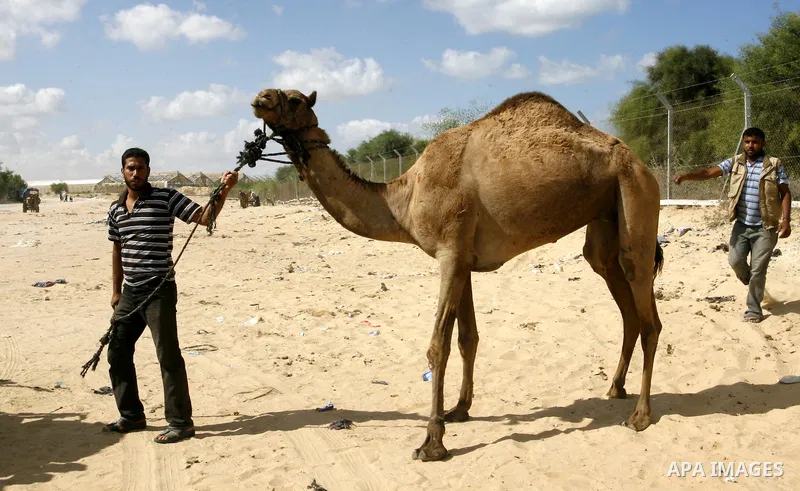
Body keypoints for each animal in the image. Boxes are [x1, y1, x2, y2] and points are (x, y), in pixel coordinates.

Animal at [250, 88, 665, 461]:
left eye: (295, 99)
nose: (260, 99)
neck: (403, 200)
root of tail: (640, 161)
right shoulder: (464, 258)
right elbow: (468, 338)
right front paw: (460, 410)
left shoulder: (449, 254)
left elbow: (439, 345)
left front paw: (432, 442)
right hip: (606, 220)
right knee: (622, 296)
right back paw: (615, 389)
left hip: (636, 194)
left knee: (648, 314)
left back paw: (641, 415)